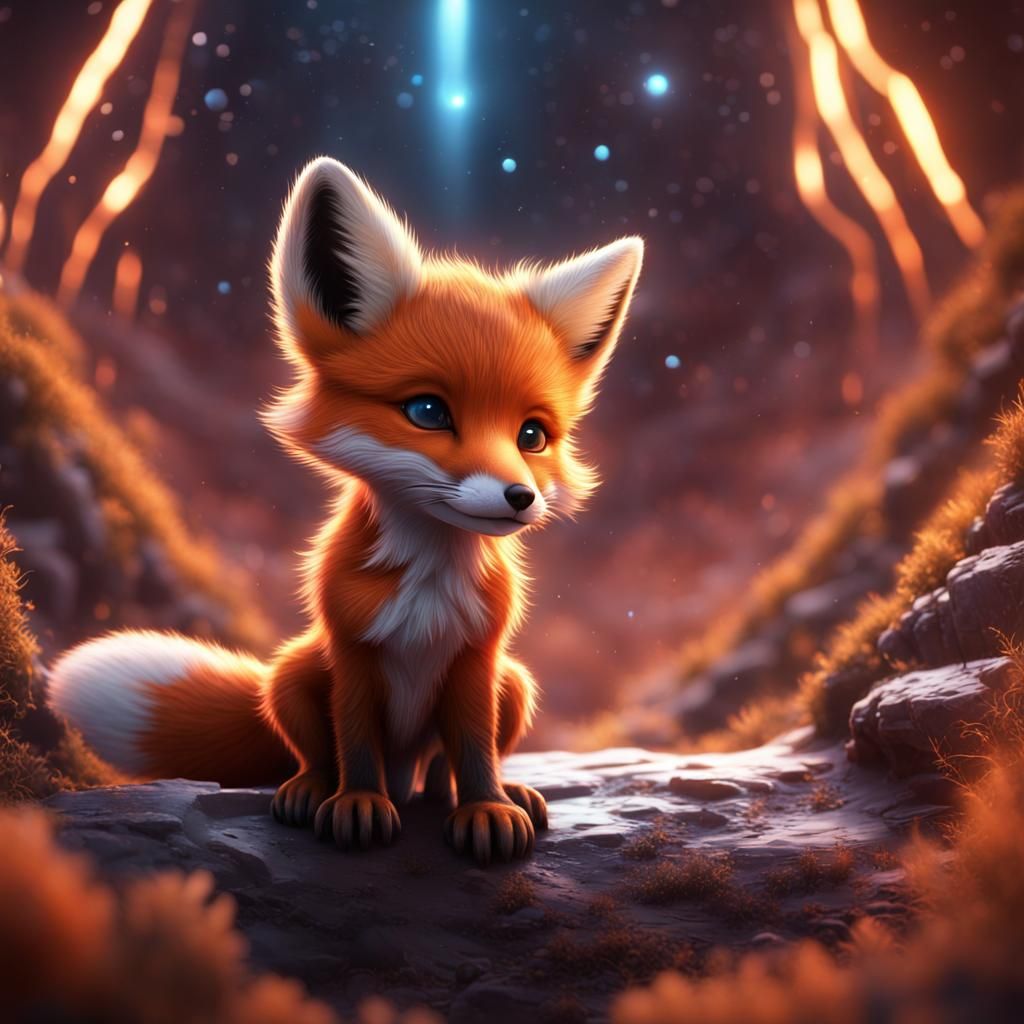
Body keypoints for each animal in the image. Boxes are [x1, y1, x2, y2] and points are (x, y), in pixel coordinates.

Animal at [47, 157, 643, 864]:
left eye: (533, 436)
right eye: (428, 411)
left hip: (516, 684)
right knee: (315, 754)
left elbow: (474, 751)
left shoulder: (478, 658)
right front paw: (357, 805)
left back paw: (490, 795)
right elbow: (353, 743)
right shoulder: (352, 652)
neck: (428, 585)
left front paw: (486, 810)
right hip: (290, 675)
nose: (520, 497)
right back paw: (311, 793)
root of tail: (404, 770)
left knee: (443, 768)